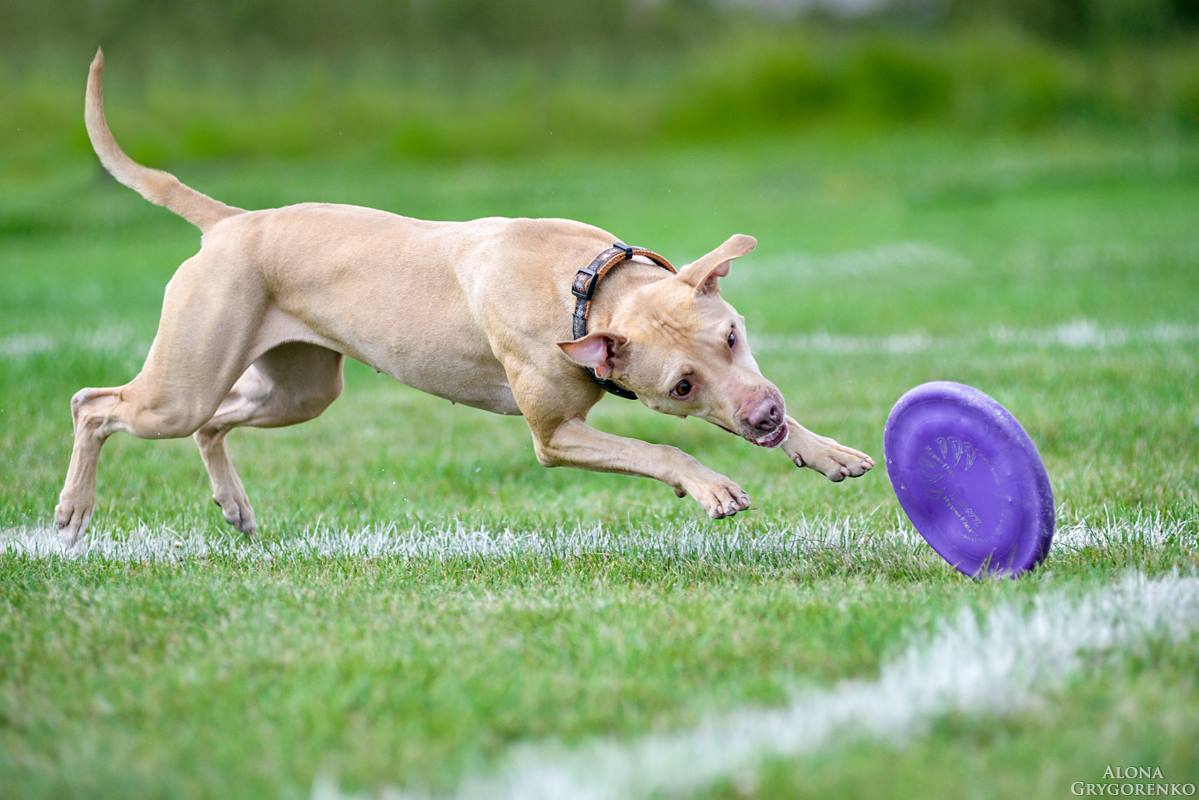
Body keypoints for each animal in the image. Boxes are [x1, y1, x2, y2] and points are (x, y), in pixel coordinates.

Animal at [53, 50, 872, 546]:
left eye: (731, 336)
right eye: (679, 385)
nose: (764, 417)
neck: (586, 288)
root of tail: (231, 221)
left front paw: (821, 448)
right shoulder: (557, 437)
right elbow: (661, 446)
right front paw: (710, 485)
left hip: (296, 389)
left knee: (214, 423)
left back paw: (233, 505)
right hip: (182, 382)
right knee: (97, 406)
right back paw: (73, 512)